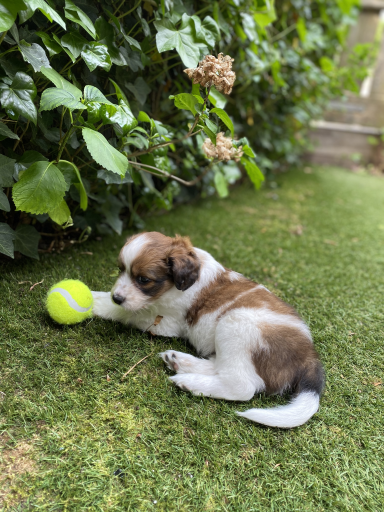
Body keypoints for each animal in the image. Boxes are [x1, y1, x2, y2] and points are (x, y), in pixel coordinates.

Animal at [92, 232, 324, 428]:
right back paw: (181, 362)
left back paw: (190, 382)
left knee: (242, 385)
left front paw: (93, 303)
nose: (117, 297)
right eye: (120, 269)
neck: (179, 284)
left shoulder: (162, 321)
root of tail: (309, 356)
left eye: (143, 279)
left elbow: (125, 312)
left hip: (235, 324)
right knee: (220, 367)